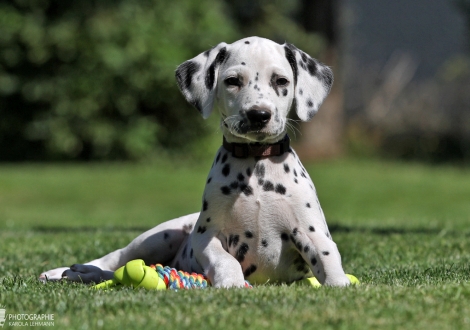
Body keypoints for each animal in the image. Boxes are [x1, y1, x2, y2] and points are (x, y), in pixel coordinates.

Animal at [39, 37, 348, 288]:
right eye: (233, 81)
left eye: (281, 81)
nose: (258, 115)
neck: (255, 165)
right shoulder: (206, 236)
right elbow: (226, 260)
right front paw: (231, 283)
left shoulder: (313, 234)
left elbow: (329, 259)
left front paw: (340, 284)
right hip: (156, 238)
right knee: (114, 261)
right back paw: (68, 271)